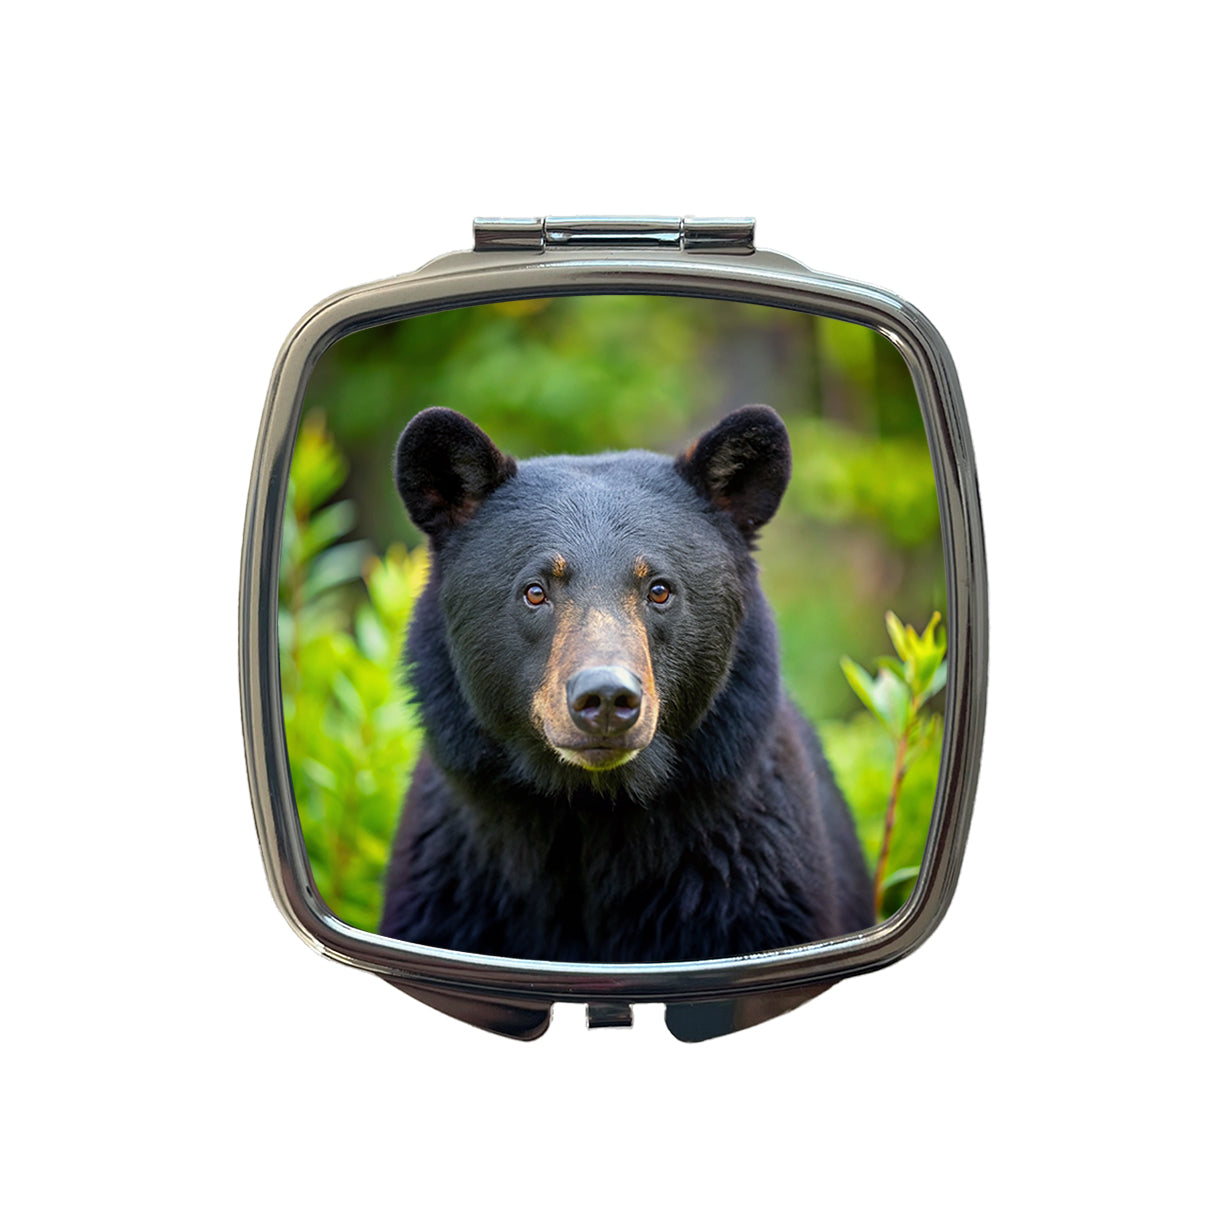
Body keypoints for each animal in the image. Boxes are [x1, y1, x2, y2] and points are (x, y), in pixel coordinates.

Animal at [378, 404, 875, 961]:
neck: (592, 810)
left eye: (659, 589)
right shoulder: (453, 880)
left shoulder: (750, 879)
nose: (607, 698)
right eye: (535, 591)